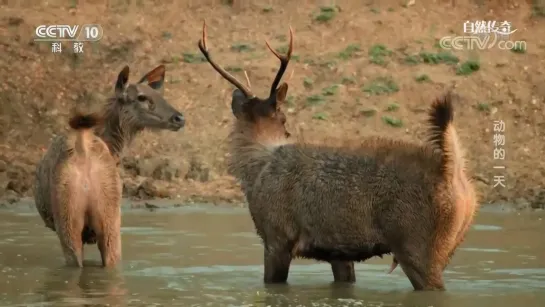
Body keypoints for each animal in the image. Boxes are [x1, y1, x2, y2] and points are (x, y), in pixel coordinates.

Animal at [197, 21, 476, 292]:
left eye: (284, 119)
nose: (288, 130)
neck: (256, 170)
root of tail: (452, 173)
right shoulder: (338, 250)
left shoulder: (277, 237)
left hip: (416, 244)